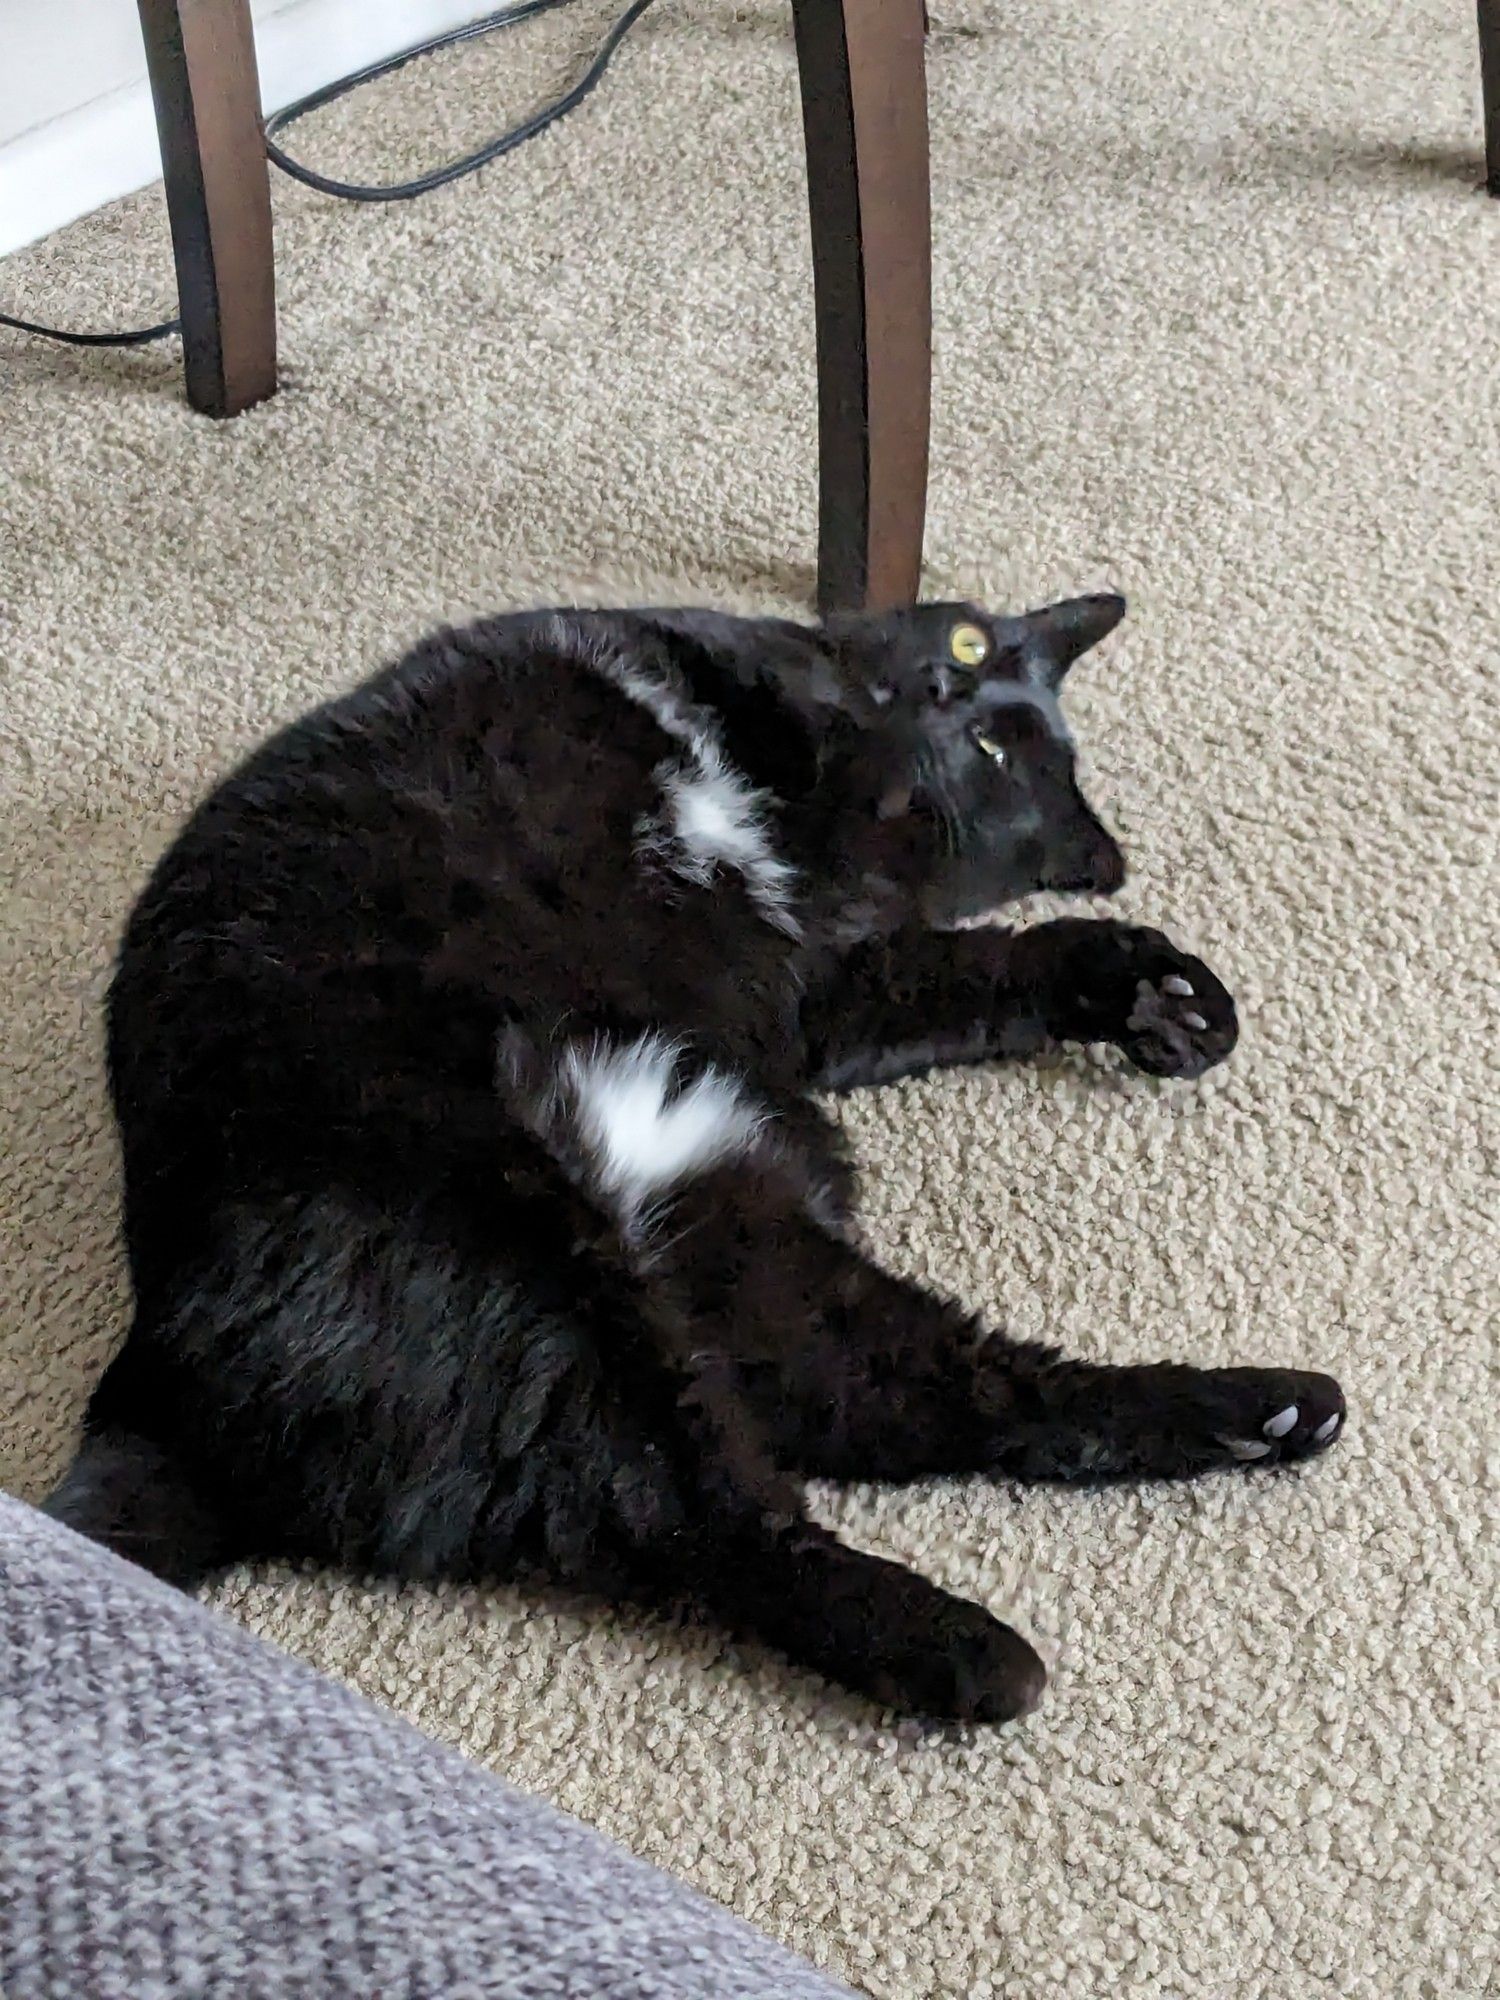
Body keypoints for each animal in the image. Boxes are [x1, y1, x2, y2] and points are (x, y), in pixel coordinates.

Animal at [50, 588, 1352, 1720]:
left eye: (993, 755)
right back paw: (978, 1651)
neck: (820, 804)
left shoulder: (834, 986)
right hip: (534, 1251)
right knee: (713, 1508)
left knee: (935, 1405)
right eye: (974, 650)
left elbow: (993, 965)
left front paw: (1160, 997)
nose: (944, 688)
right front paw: (1154, 989)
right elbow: (993, 950)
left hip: (706, 1243)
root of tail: (156, 1382)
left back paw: (1266, 1414)